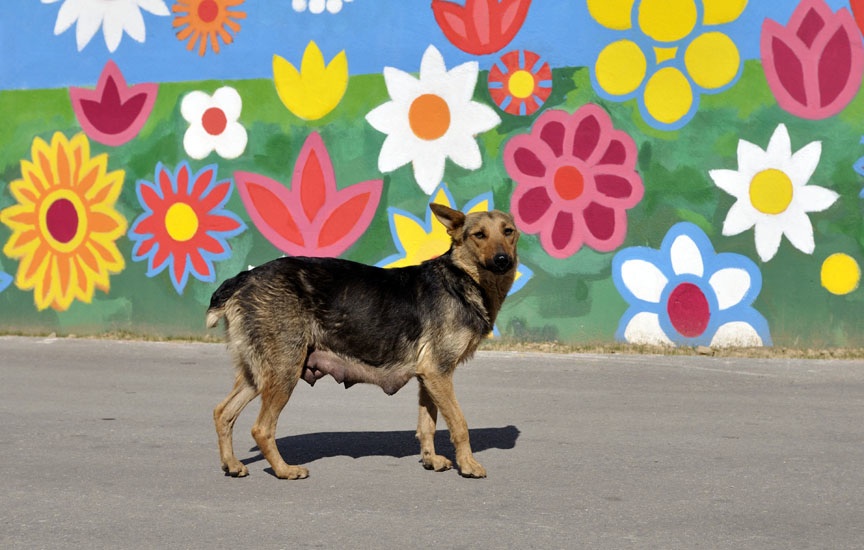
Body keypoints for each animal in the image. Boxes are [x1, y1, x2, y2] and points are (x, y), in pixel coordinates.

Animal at [208, 203, 520, 478]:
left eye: (508, 232)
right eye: (479, 235)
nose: (503, 260)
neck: (463, 278)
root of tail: (243, 278)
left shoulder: (429, 376)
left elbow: (427, 423)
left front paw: (430, 460)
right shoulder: (439, 372)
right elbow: (459, 423)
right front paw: (468, 465)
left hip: (258, 374)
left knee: (223, 412)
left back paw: (231, 464)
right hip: (284, 371)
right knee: (261, 428)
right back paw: (284, 470)